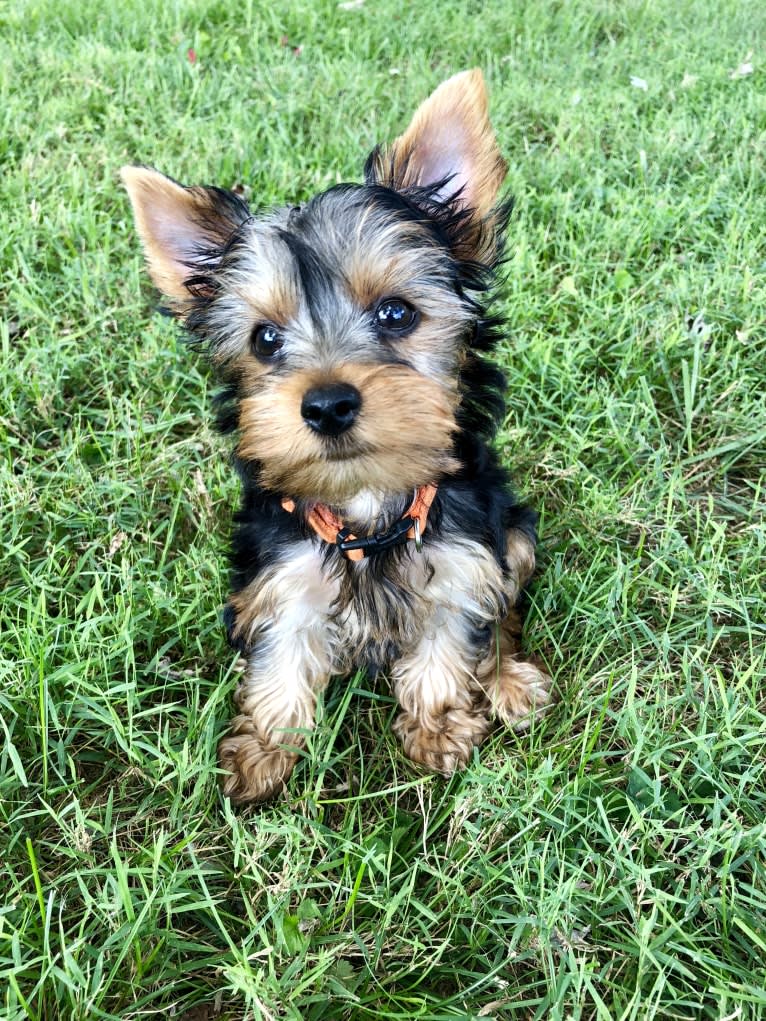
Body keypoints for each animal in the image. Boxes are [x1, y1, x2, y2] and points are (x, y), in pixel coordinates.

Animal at [121, 71, 551, 804]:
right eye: (265, 339)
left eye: (397, 313)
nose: (325, 404)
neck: (367, 504)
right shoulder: (283, 577)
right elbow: (279, 662)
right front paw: (262, 752)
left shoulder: (461, 562)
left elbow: (449, 644)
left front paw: (438, 727)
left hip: (510, 530)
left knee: (505, 606)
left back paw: (507, 679)